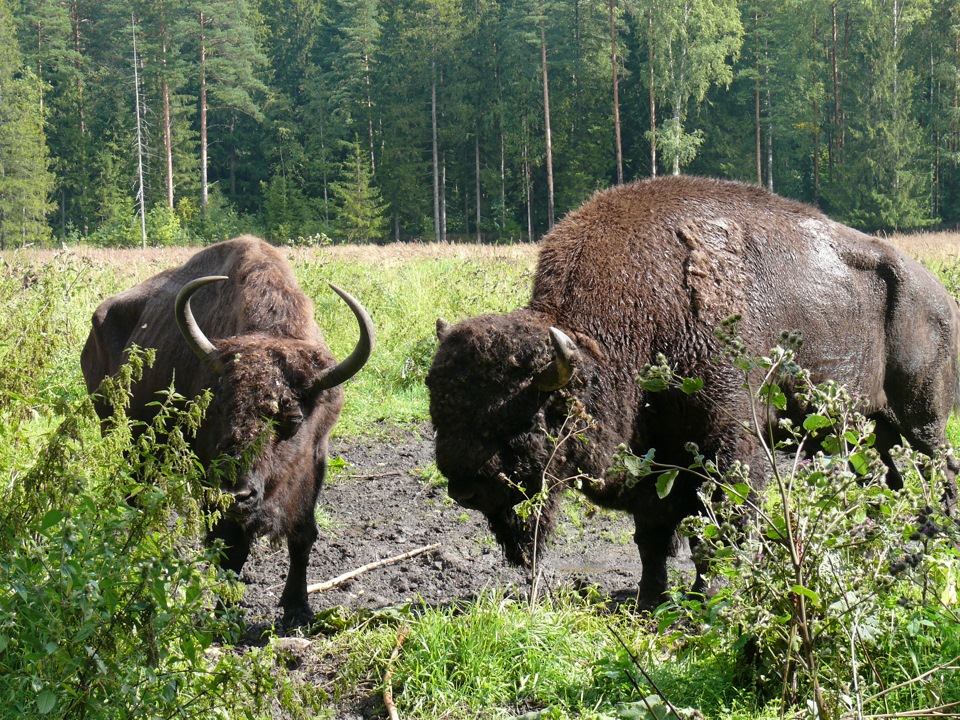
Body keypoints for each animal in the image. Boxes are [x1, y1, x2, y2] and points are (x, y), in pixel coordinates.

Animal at [80, 235, 374, 624]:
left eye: (293, 419)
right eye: (217, 409)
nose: (238, 494)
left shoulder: (314, 461)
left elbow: (303, 534)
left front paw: (298, 610)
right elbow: (229, 546)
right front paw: (226, 612)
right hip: (125, 437)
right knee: (135, 496)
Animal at [428, 174, 960, 608]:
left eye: (521, 421)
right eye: (439, 412)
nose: (464, 487)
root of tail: (941, 297)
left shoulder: (731, 442)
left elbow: (717, 530)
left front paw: (708, 598)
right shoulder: (652, 459)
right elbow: (652, 536)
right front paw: (650, 600)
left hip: (922, 418)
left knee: (939, 468)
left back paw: (937, 539)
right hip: (868, 431)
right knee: (885, 480)